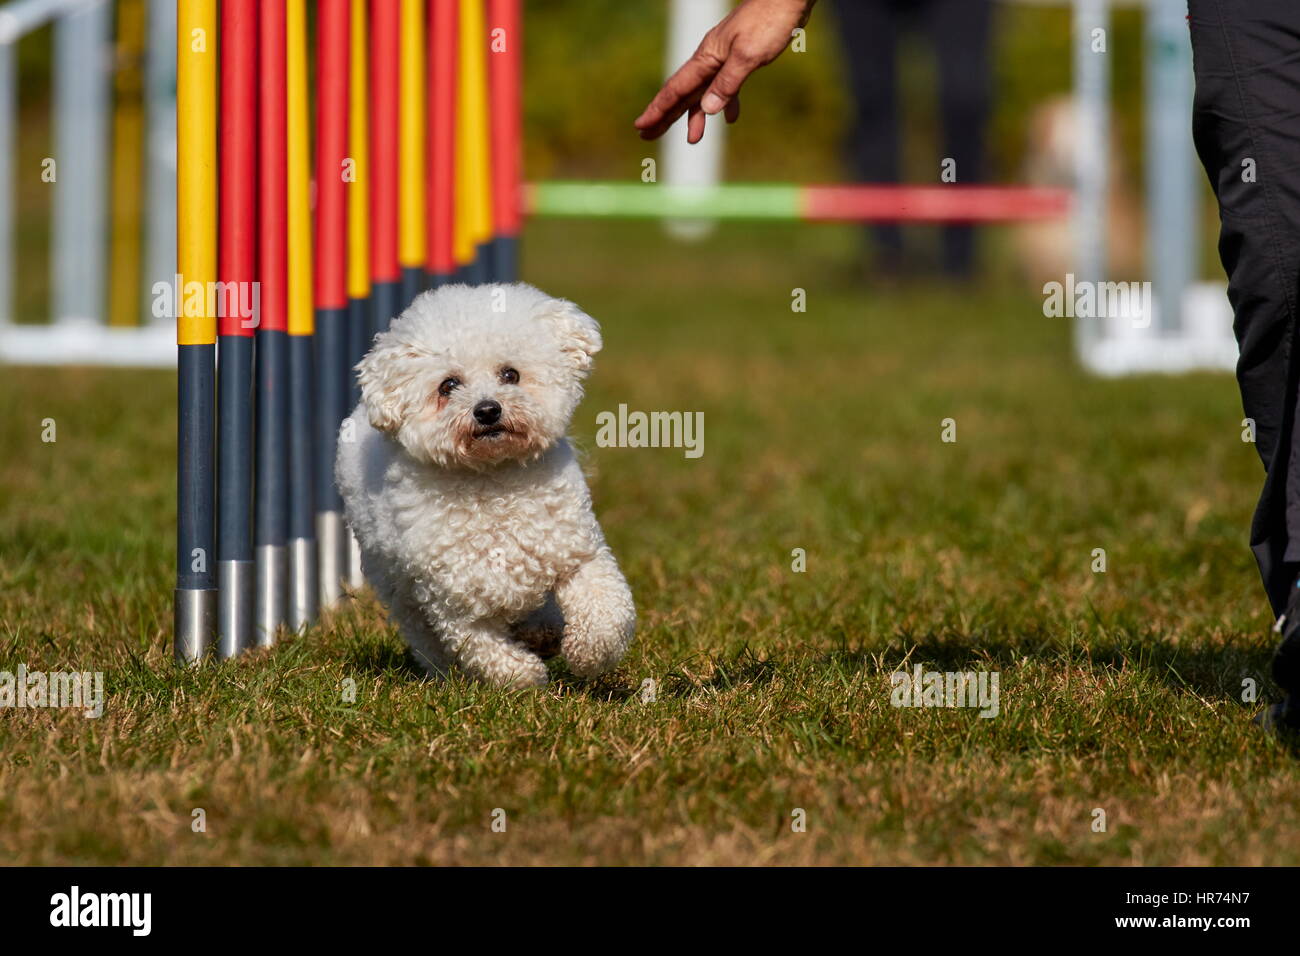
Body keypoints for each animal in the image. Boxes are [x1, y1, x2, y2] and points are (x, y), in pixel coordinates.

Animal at [338, 283, 637, 686]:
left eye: (510, 374)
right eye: (448, 385)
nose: (487, 410)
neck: (493, 480)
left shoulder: (577, 552)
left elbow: (604, 606)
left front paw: (591, 653)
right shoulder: (454, 603)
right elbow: (483, 648)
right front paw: (524, 676)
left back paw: (542, 632)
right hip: (395, 584)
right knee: (424, 635)